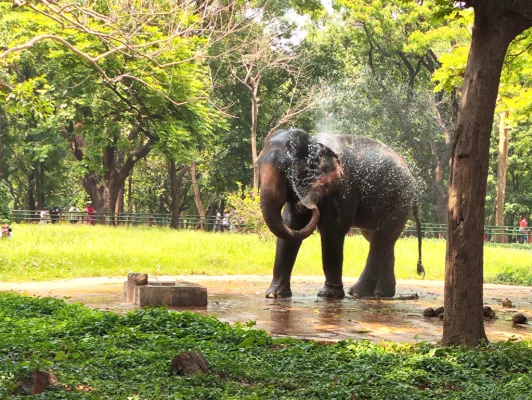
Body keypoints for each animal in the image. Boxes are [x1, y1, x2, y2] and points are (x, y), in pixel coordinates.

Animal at [258, 127, 424, 296]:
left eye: (286, 170)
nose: (306, 205)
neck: (315, 143)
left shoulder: (342, 189)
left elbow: (332, 230)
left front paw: (329, 294)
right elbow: (291, 226)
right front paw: (274, 294)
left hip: (397, 200)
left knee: (380, 238)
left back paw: (357, 292)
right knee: (379, 238)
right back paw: (382, 294)